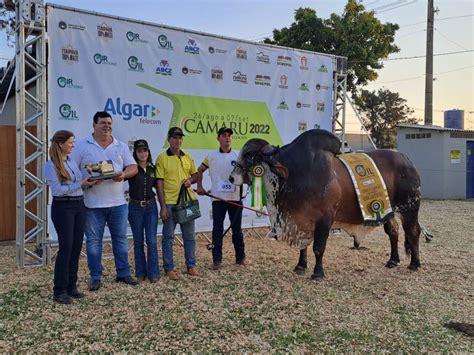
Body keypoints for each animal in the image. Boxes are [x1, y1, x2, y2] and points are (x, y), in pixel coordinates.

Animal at [230, 129, 422, 282]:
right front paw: (300, 266)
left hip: (409, 208)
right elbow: (304, 246)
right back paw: (393, 260)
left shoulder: (325, 219)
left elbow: (318, 248)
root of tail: (407, 160)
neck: (296, 173)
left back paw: (415, 264)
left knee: (413, 232)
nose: (232, 178)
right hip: (388, 212)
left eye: (249, 156)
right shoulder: (302, 221)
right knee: (394, 231)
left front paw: (317, 273)